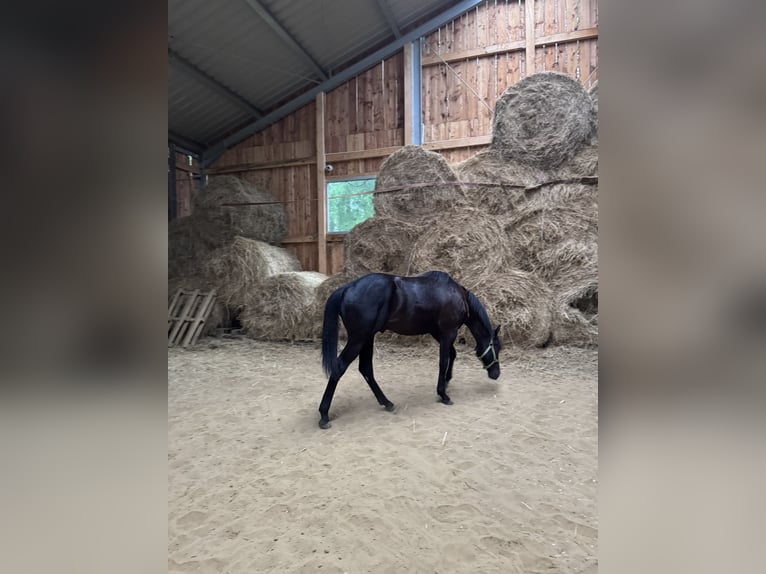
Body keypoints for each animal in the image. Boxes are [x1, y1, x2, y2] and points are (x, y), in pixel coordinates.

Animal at [318, 270, 502, 429]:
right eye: (497, 347)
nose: (496, 374)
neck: (457, 295)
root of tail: (346, 288)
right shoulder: (448, 332)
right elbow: (443, 361)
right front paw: (443, 394)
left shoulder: (438, 332)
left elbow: (452, 354)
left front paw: (447, 381)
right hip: (359, 339)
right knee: (339, 368)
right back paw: (324, 415)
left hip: (367, 338)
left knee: (366, 369)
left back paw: (387, 403)